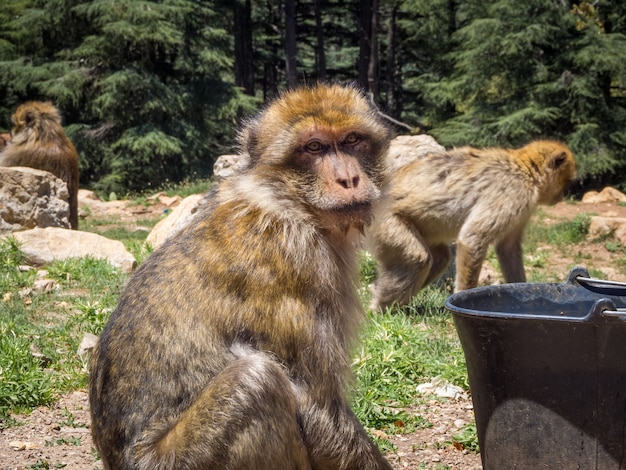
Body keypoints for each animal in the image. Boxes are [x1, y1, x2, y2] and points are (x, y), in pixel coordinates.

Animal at [89, 84, 390, 470]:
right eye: (314, 147)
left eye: (352, 140)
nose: (348, 179)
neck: (283, 201)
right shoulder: (298, 262)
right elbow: (317, 405)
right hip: (183, 459)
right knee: (257, 379)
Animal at [366, 139, 576, 312]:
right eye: (566, 181)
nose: (562, 195)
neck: (525, 170)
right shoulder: (513, 192)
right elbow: (473, 238)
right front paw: (461, 298)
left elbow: (507, 247)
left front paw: (523, 290)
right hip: (385, 222)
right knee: (417, 259)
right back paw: (380, 309)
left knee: (440, 258)